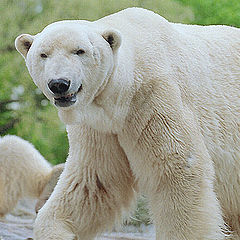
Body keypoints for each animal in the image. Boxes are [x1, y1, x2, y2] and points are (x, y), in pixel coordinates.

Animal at [15, 7, 240, 240]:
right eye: (43, 54)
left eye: (80, 51)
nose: (59, 84)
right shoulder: (99, 126)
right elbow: (93, 183)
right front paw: (57, 229)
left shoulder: (153, 98)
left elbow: (177, 169)